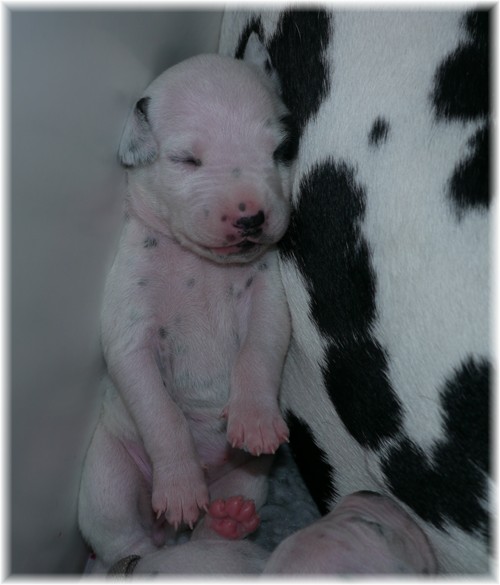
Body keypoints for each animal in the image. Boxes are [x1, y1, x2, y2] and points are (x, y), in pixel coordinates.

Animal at [78, 33, 294, 570]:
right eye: (185, 160)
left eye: (281, 150)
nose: (251, 217)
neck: (204, 264)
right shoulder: (131, 330)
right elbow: (161, 412)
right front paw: (178, 486)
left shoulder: (268, 296)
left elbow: (260, 349)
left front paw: (255, 420)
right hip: (108, 476)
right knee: (121, 539)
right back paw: (149, 548)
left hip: (249, 478)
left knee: (214, 524)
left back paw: (228, 521)